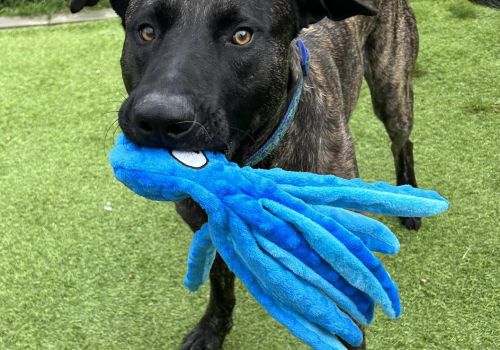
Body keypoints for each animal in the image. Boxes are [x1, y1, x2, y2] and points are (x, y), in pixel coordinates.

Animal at [72, 0, 498, 350]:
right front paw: (212, 331)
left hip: (391, 89)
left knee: (402, 141)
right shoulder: (211, 225)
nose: (159, 119)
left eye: (242, 35)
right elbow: (221, 289)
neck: (251, 162)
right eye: (146, 30)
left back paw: (408, 197)